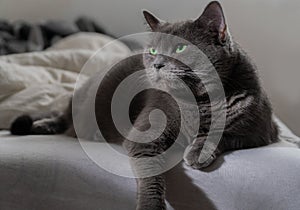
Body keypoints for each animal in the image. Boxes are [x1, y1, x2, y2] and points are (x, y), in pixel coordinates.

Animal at [11, 1, 278, 210]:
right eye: (152, 50)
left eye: (180, 47)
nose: (157, 63)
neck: (200, 101)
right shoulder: (144, 133)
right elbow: (150, 176)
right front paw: (151, 205)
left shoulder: (260, 131)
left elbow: (224, 132)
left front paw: (197, 152)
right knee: (64, 117)